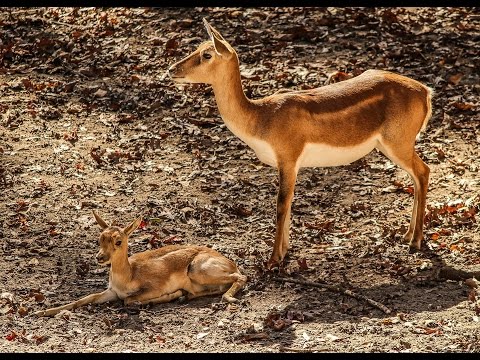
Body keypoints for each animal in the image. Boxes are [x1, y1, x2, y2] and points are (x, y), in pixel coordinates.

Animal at [34, 212, 246, 316]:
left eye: (118, 241)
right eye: (100, 238)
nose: (100, 257)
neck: (128, 276)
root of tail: (231, 262)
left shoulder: (151, 288)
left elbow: (129, 300)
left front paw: (171, 294)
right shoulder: (112, 291)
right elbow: (85, 298)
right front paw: (42, 312)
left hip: (199, 269)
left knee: (241, 277)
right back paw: (185, 296)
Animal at [170, 19, 436, 268]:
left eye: (207, 54)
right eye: (197, 47)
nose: (172, 68)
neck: (261, 119)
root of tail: (426, 92)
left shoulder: (288, 157)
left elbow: (280, 204)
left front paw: (273, 260)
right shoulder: (291, 164)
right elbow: (288, 204)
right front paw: (285, 252)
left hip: (397, 142)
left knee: (423, 171)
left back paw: (415, 241)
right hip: (389, 145)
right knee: (416, 176)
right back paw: (407, 235)